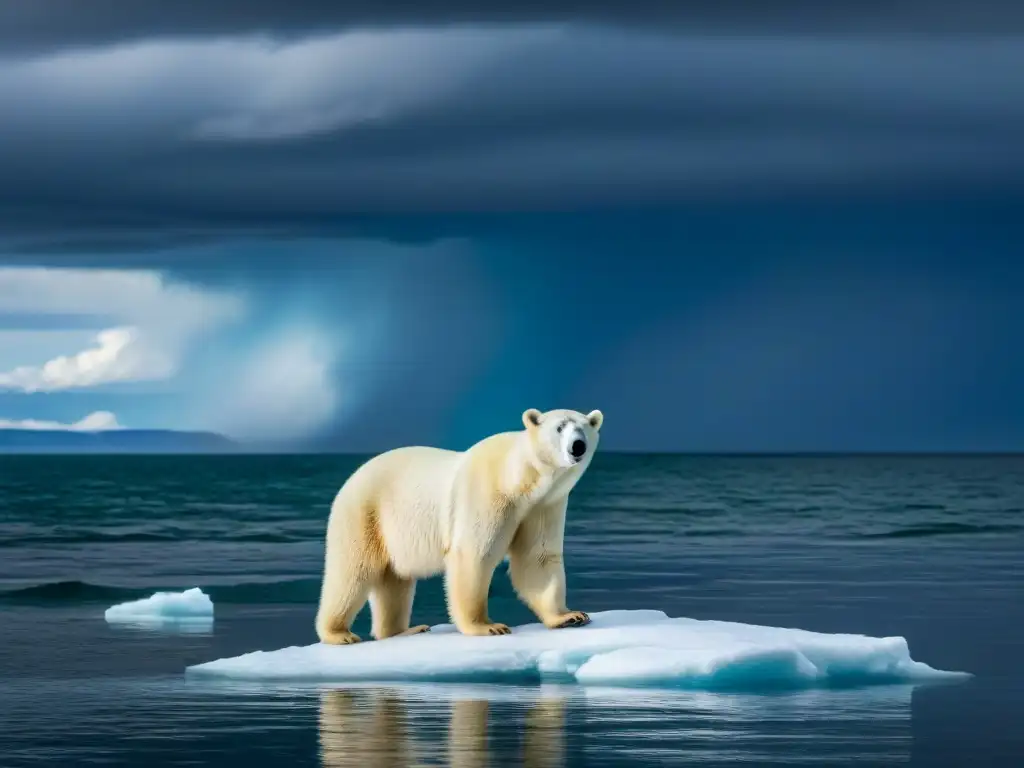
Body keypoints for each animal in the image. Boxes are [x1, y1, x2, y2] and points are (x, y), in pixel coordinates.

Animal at [311, 405, 598, 647]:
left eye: (584, 428)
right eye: (560, 427)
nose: (578, 446)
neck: (518, 479)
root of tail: (351, 478)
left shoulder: (543, 506)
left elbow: (537, 558)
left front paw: (569, 616)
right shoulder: (486, 494)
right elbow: (474, 554)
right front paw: (488, 627)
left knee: (394, 581)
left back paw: (404, 630)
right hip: (365, 514)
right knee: (353, 572)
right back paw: (339, 633)